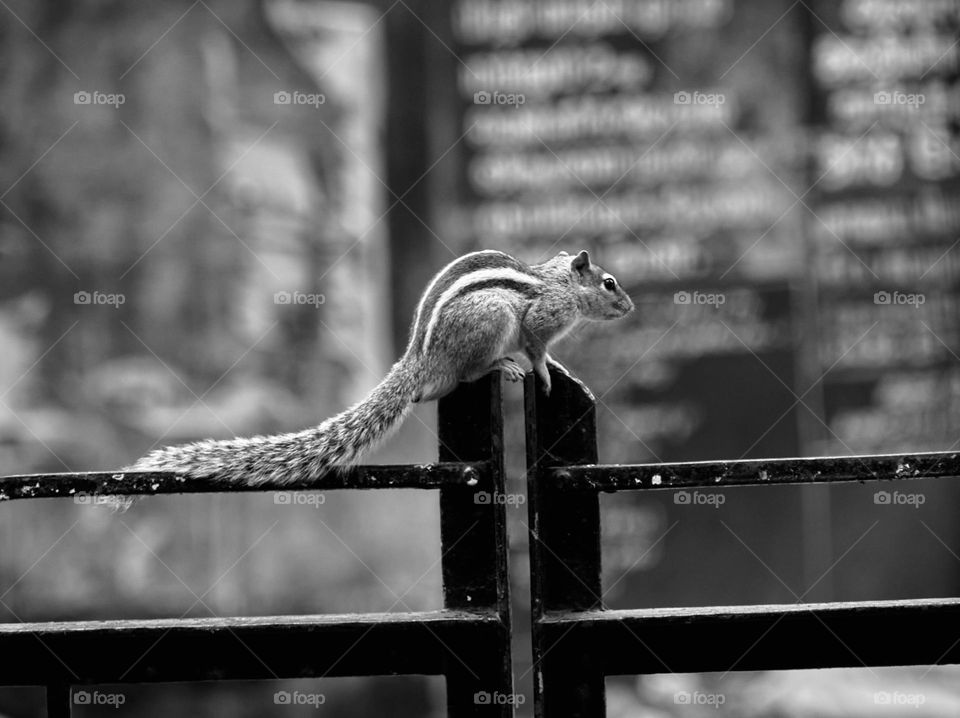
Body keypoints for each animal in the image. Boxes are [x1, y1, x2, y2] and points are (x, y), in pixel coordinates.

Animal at [129, 250, 636, 486]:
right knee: (468, 374)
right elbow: (536, 348)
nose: (630, 307)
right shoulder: (537, 320)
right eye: (610, 283)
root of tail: (417, 360)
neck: (558, 284)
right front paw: (545, 370)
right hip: (490, 320)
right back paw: (500, 367)